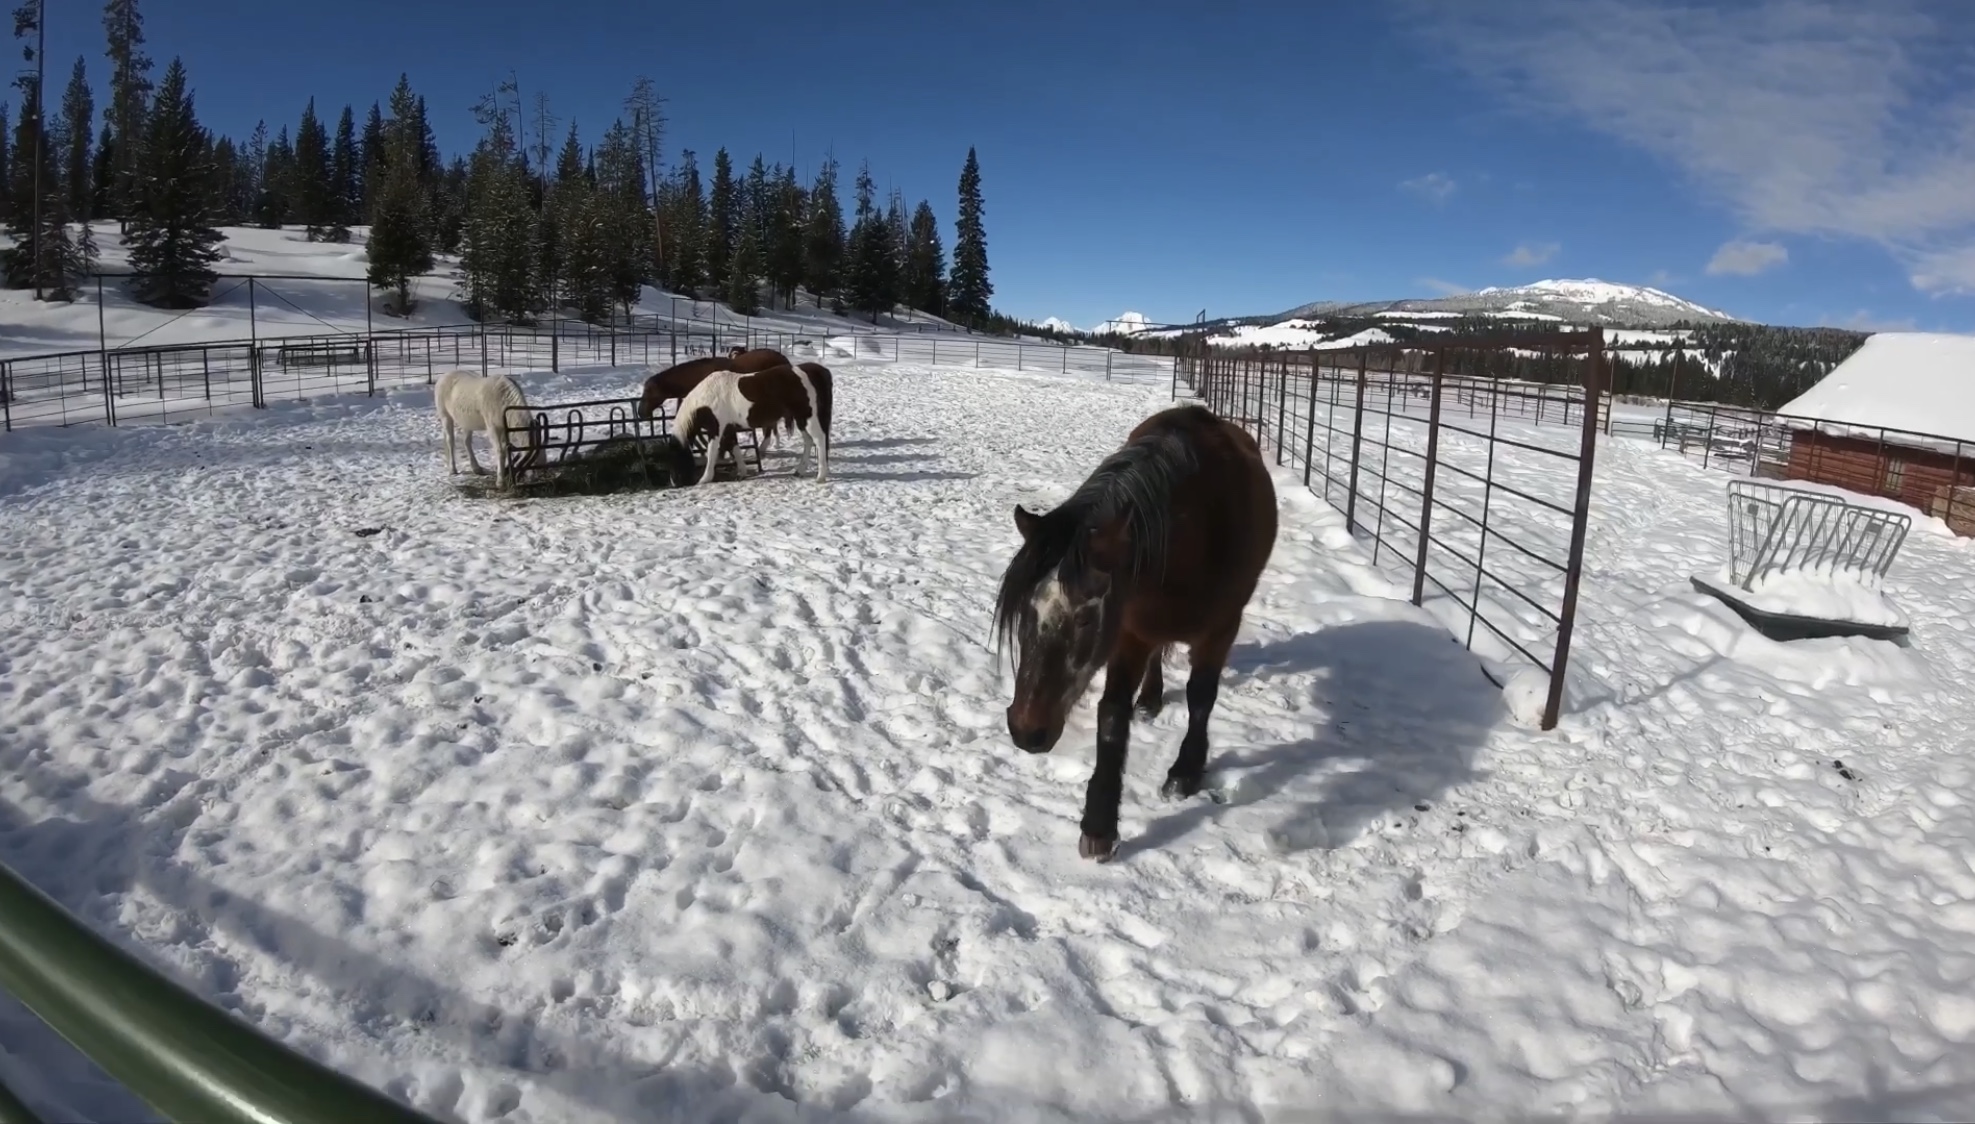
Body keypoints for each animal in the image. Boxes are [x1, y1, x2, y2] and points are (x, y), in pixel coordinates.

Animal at [675, 359, 829, 481]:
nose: (675, 482)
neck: (706, 398)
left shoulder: (716, 428)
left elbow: (712, 451)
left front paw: (705, 478)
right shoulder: (728, 428)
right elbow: (734, 448)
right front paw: (741, 472)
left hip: (807, 417)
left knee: (819, 439)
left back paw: (820, 476)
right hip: (801, 419)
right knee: (809, 441)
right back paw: (800, 471)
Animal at [987, 402, 1279, 857]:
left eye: (1085, 618)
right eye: (1025, 614)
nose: (1025, 730)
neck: (1201, 527)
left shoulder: (1221, 629)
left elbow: (1201, 697)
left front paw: (1185, 773)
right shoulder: (1129, 631)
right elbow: (1112, 716)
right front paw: (1099, 825)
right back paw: (1150, 699)